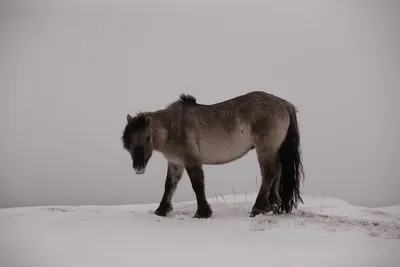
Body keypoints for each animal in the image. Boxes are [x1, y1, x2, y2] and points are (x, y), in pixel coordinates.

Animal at [121, 91, 304, 219]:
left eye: (147, 137)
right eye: (129, 140)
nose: (138, 167)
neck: (172, 128)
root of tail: (283, 103)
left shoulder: (191, 161)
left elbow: (197, 185)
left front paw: (202, 212)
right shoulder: (175, 163)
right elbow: (169, 185)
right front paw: (161, 210)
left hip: (265, 150)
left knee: (269, 173)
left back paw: (258, 208)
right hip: (274, 150)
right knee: (278, 170)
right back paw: (274, 205)